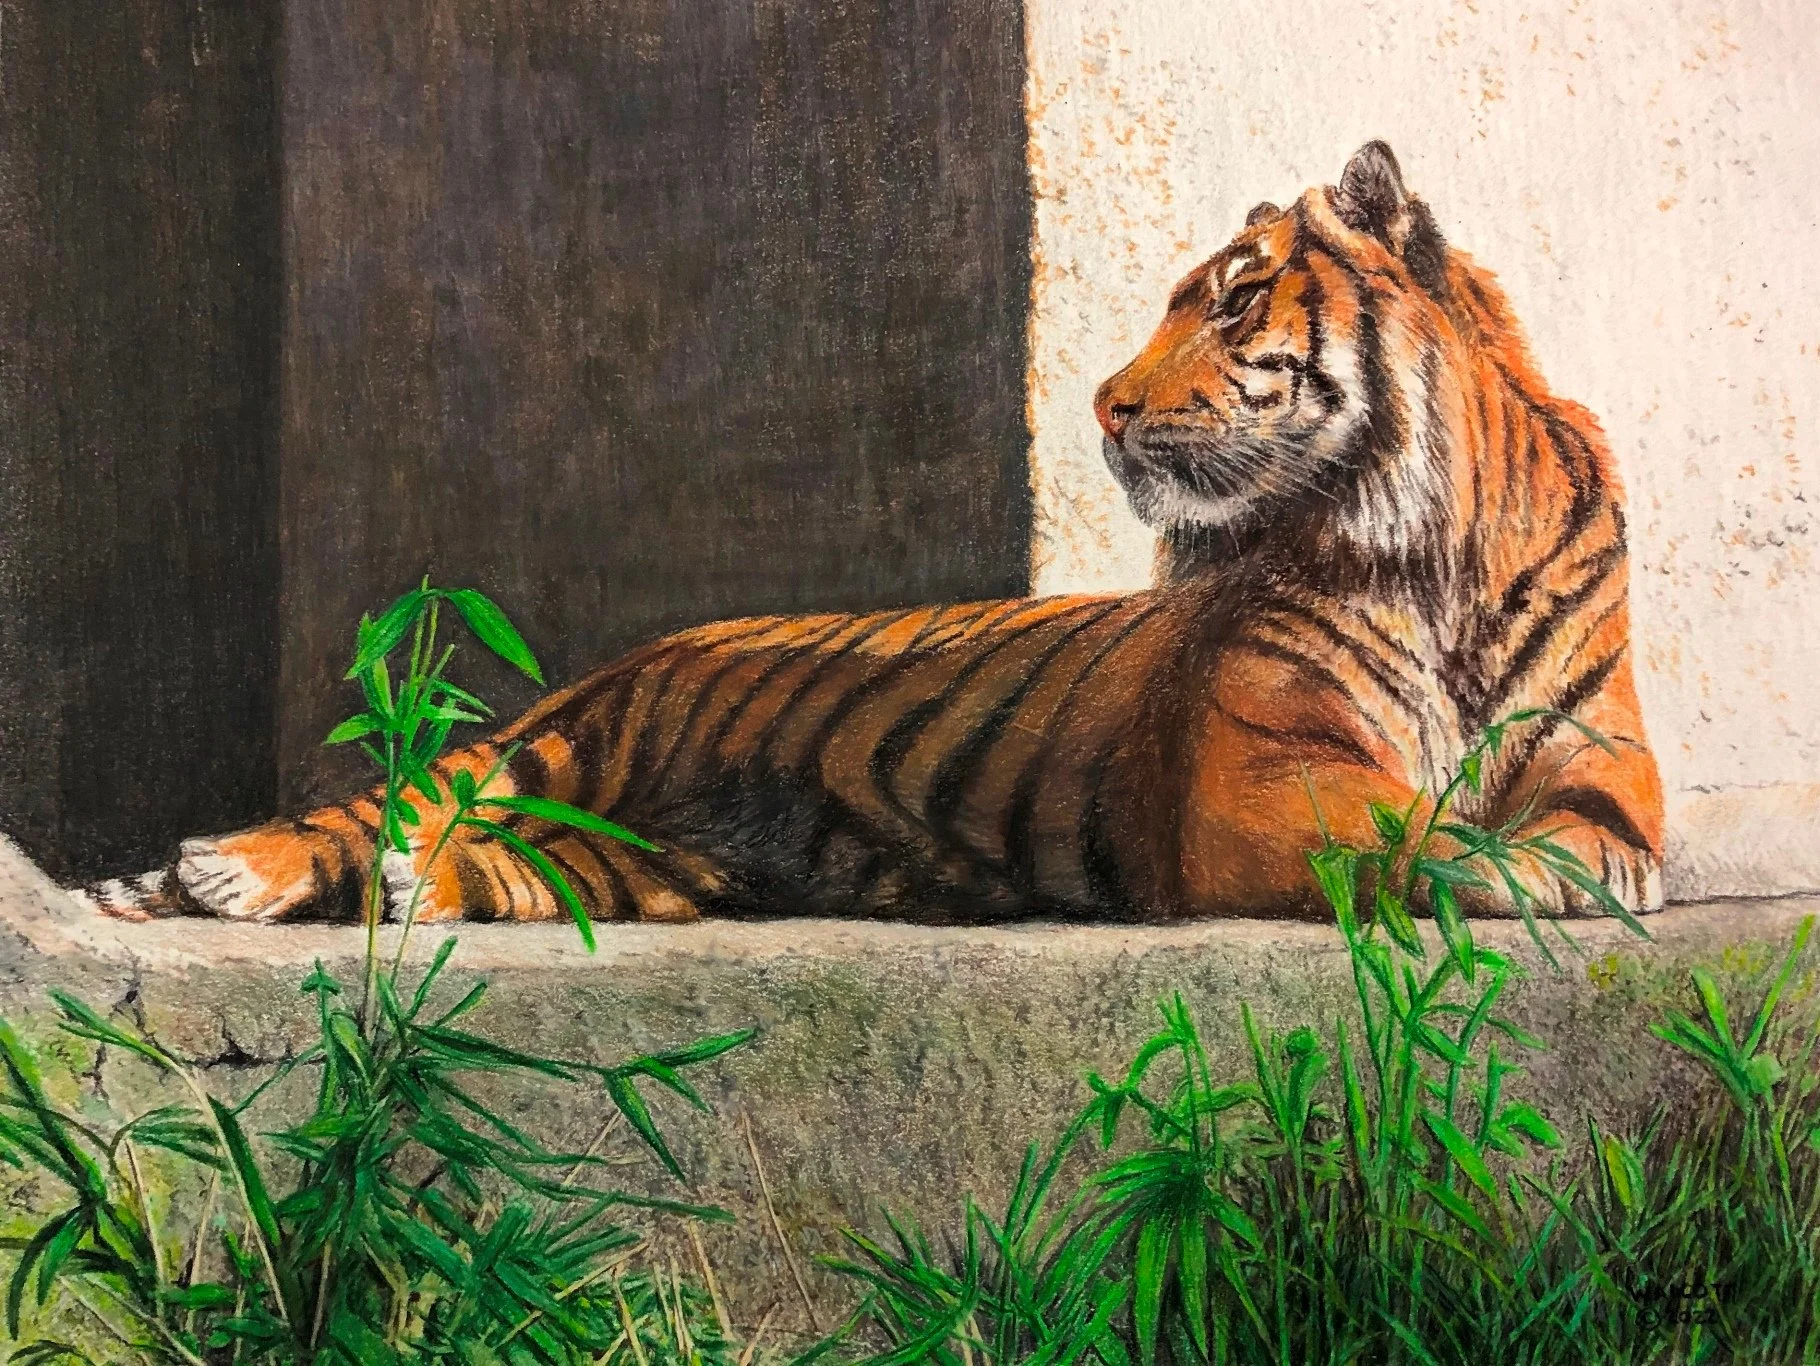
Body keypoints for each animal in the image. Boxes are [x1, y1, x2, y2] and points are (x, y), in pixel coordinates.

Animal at [86, 142, 1664, 929]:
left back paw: (408, 885)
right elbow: (1404, 821)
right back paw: (216, 871)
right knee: (387, 803)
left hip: (657, 857)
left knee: (501, 864)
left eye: (1232, 302)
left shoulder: (1608, 773)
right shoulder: (1255, 780)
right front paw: (1489, 867)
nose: (1100, 404)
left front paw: (1553, 875)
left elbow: (1582, 839)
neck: (1431, 552)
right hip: (562, 740)